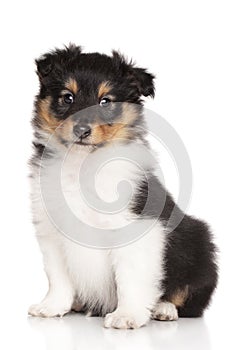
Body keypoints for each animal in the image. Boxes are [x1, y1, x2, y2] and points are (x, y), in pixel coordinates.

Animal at [28, 45, 218, 330]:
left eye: (106, 101)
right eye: (67, 97)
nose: (81, 130)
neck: (83, 164)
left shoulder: (136, 229)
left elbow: (131, 277)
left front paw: (127, 315)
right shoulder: (51, 231)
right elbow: (58, 276)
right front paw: (52, 306)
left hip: (198, 242)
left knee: (189, 299)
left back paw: (163, 309)